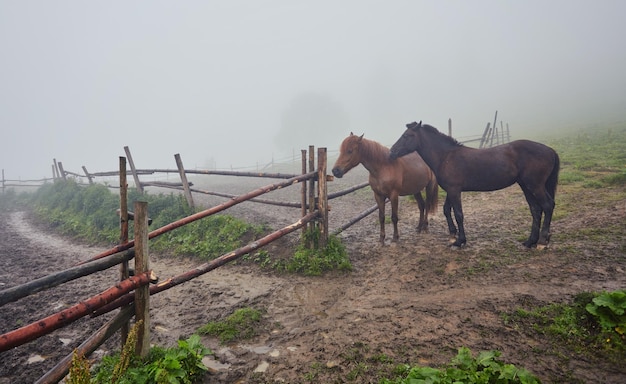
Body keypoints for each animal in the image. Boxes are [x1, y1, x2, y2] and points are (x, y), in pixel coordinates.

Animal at [388, 121, 560, 250]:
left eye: (407, 136)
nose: (391, 152)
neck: (446, 157)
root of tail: (550, 150)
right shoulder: (451, 190)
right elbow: (446, 210)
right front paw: (453, 235)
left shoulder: (455, 190)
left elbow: (458, 214)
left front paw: (460, 241)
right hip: (526, 186)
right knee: (535, 209)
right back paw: (530, 241)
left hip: (535, 185)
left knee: (547, 205)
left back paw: (542, 241)